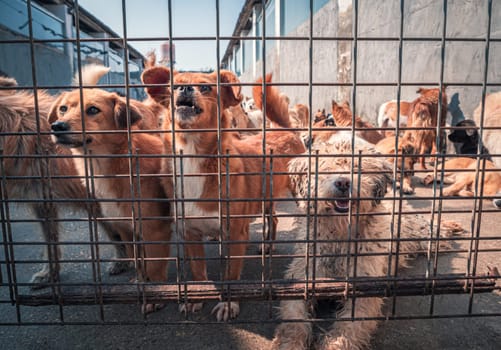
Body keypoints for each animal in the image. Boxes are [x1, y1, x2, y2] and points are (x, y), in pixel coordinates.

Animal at [47, 65, 172, 312]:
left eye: (93, 110)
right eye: (63, 109)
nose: (57, 126)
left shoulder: (154, 230)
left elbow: (154, 266)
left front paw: (156, 295)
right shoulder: (125, 228)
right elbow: (137, 260)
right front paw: (141, 282)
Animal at [141, 67, 304, 322]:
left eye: (206, 87)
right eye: (174, 85)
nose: (184, 88)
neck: (193, 156)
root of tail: (284, 130)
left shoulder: (236, 234)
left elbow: (230, 275)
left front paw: (228, 305)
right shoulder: (190, 233)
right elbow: (198, 271)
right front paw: (196, 299)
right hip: (265, 198)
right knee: (274, 219)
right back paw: (267, 245)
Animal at [270, 134, 460, 350]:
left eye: (358, 166)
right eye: (327, 166)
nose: (343, 183)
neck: (339, 234)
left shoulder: (364, 287)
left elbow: (349, 328)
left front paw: (334, 345)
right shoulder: (303, 277)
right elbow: (293, 319)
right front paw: (289, 343)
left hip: (416, 231)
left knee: (432, 229)